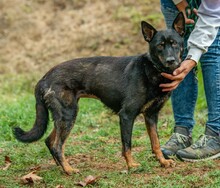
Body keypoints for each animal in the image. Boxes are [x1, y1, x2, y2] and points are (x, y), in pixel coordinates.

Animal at [13, 12, 185, 175]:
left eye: (174, 43)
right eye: (160, 46)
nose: (171, 60)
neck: (154, 69)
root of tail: (43, 79)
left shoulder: (151, 115)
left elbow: (155, 143)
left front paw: (163, 162)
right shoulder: (126, 115)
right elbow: (127, 145)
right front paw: (131, 166)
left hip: (64, 116)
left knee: (49, 141)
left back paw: (61, 166)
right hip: (68, 114)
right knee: (57, 145)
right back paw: (68, 169)